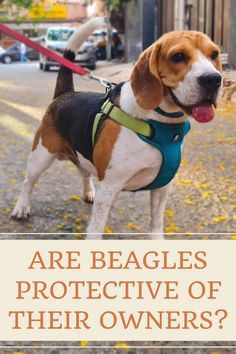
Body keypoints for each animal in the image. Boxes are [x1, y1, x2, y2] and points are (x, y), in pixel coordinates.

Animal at [10, 16, 221, 238]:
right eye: (178, 56)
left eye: (214, 54)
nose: (213, 79)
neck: (156, 123)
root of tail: (65, 93)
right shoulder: (108, 189)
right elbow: (96, 230)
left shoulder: (162, 188)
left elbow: (156, 224)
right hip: (40, 156)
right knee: (28, 182)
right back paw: (21, 208)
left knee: (84, 172)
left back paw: (88, 192)